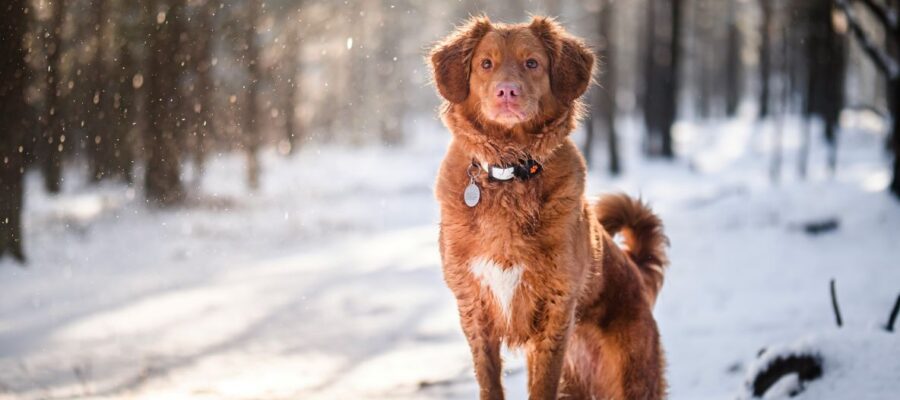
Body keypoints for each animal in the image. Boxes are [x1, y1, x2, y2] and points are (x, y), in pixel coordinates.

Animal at [428, 16, 668, 400]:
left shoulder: (556, 309)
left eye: (532, 63)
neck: (509, 172)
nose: (506, 92)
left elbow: (543, 386)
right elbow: (489, 380)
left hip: (633, 377)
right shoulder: (473, 307)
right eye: (486, 64)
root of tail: (635, 270)